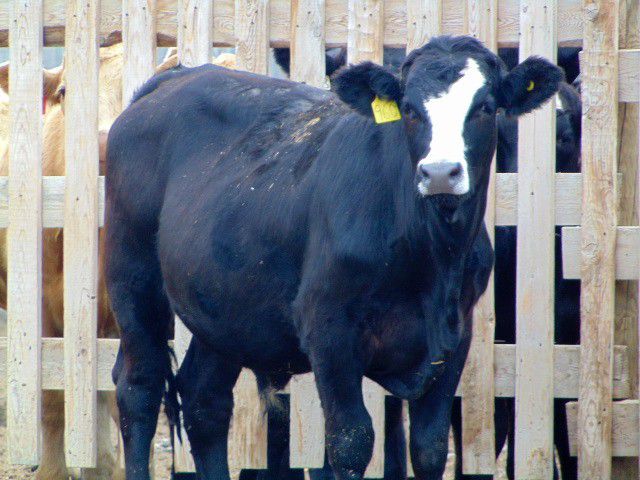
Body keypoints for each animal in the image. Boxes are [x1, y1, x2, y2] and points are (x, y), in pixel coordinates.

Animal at [105, 35, 562, 480]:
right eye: (409, 110)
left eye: (485, 107)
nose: (439, 173)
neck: (432, 257)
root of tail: (173, 78)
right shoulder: (330, 331)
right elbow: (350, 442)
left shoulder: (455, 335)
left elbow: (429, 447)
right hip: (132, 277)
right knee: (139, 388)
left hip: (222, 307)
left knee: (205, 401)